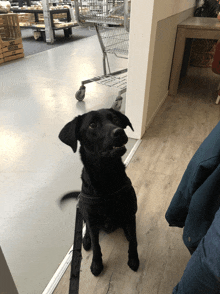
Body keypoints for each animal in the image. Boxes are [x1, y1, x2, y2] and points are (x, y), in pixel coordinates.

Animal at [58, 107, 139, 276]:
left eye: (115, 118)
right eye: (92, 125)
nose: (119, 132)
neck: (106, 177)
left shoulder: (131, 213)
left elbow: (134, 239)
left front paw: (134, 258)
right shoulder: (92, 219)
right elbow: (96, 245)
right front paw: (96, 264)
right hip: (83, 210)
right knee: (87, 229)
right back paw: (86, 239)